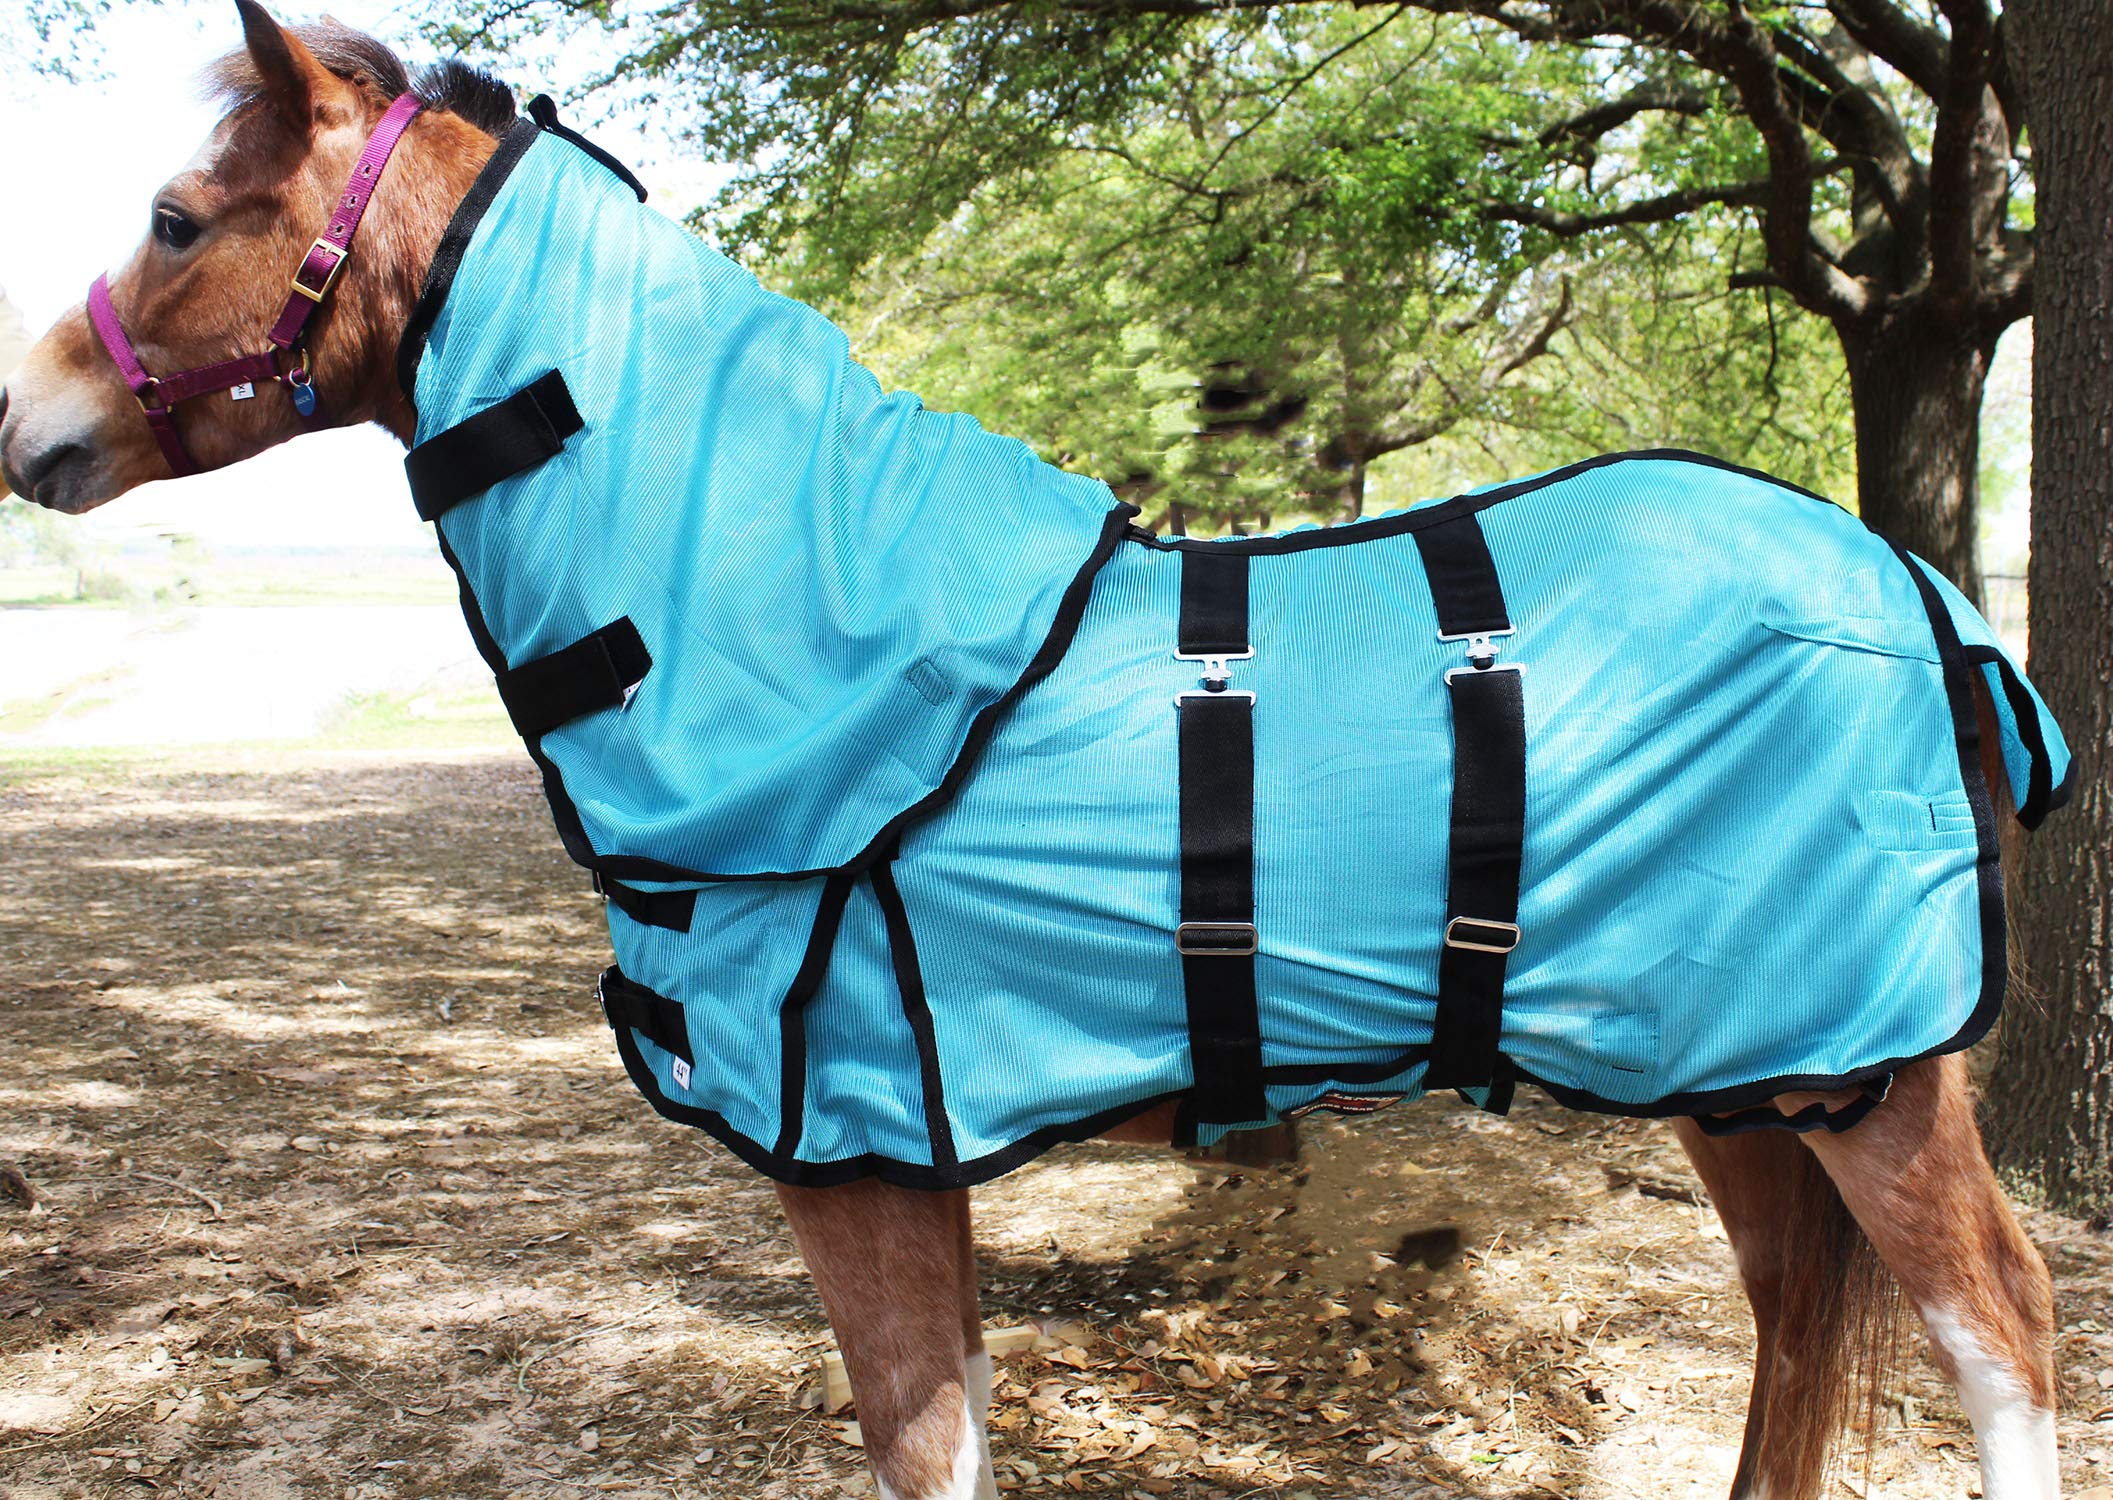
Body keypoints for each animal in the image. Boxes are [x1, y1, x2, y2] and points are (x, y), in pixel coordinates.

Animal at [0, 7, 2064, 1498]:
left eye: (176, 220)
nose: (29, 421)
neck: (802, 612)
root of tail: (1919, 596)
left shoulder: (856, 1167)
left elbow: (925, 1450)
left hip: (1871, 1080)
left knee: (1998, 1325)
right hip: (1749, 1077)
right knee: (1793, 1318)